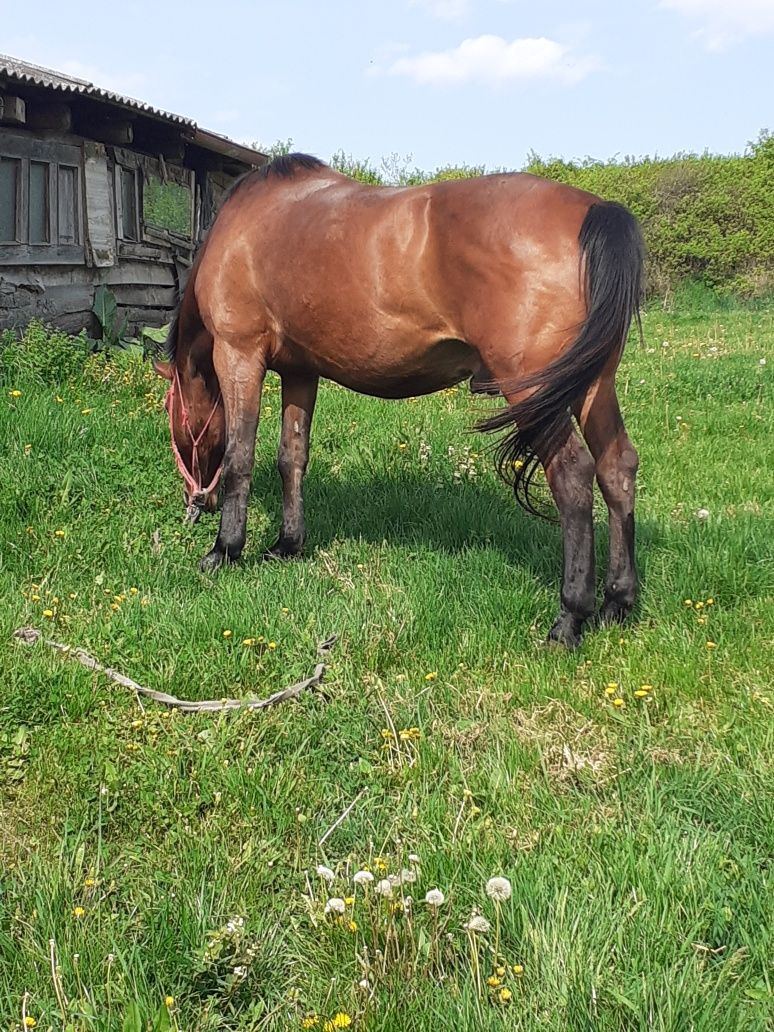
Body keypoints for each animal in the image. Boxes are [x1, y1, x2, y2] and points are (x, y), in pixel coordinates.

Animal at [154, 151, 643, 643]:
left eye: (172, 413)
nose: (195, 503)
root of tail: (594, 210)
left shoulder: (239, 355)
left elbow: (240, 457)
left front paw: (224, 550)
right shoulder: (300, 372)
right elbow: (291, 457)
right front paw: (287, 544)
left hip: (533, 388)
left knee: (573, 476)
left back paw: (569, 618)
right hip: (591, 385)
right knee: (616, 467)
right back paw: (616, 603)